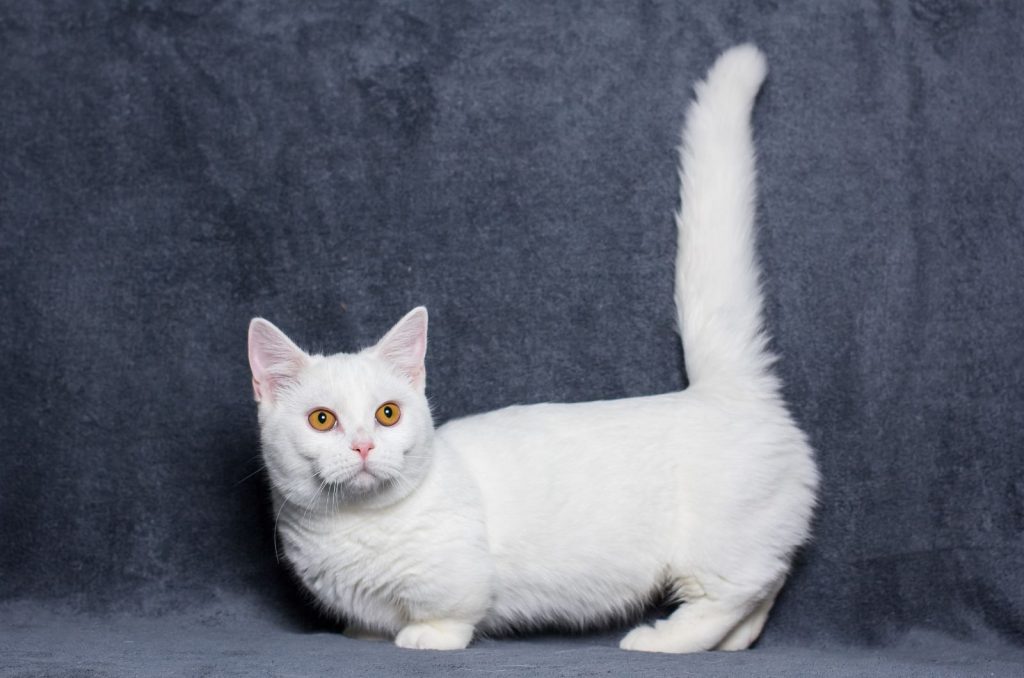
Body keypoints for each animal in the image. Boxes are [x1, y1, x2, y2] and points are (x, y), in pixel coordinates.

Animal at [251, 45, 819, 655]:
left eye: (387, 413)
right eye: (322, 419)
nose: (361, 445)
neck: (350, 531)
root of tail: (724, 391)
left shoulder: (456, 581)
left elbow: (447, 615)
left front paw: (420, 638)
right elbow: (366, 624)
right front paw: (363, 634)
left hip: (720, 546)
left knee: (736, 591)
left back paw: (662, 640)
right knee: (766, 584)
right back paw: (736, 642)